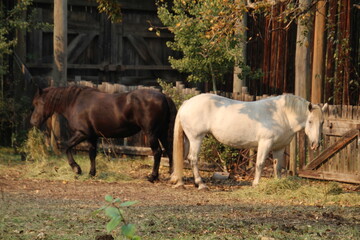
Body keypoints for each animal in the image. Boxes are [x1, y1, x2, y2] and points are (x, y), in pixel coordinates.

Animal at [30, 85, 176, 181]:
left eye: (39, 103)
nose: (33, 121)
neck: (75, 102)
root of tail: (163, 96)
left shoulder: (82, 133)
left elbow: (67, 146)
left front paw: (76, 168)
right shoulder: (92, 136)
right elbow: (92, 154)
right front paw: (91, 173)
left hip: (152, 133)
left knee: (157, 152)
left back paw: (152, 176)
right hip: (162, 133)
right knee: (170, 151)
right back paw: (172, 174)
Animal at [170, 94, 328, 189]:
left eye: (322, 122)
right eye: (310, 121)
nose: (316, 145)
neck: (282, 114)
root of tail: (187, 103)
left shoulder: (279, 148)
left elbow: (277, 166)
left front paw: (277, 183)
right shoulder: (265, 143)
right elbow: (260, 164)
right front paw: (256, 184)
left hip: (188, 139)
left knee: (183, 157)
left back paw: (179, 181)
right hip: (196, 138)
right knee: (193, 159)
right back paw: (200, 184)